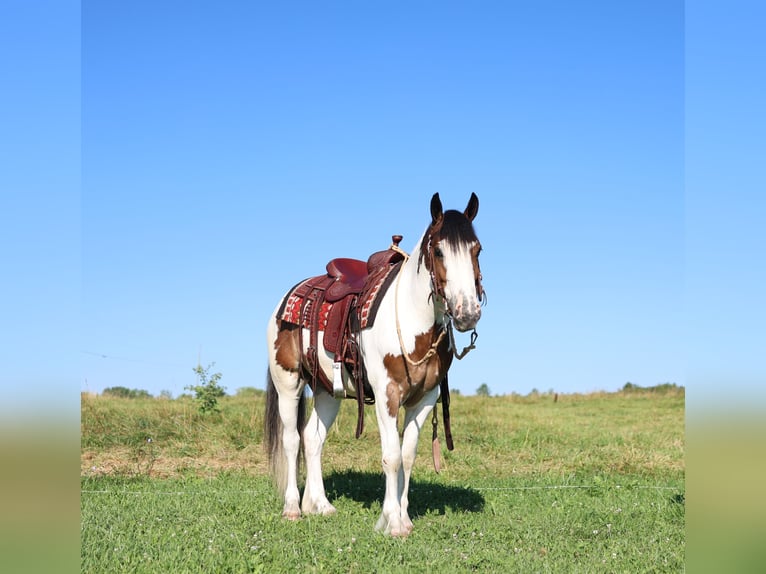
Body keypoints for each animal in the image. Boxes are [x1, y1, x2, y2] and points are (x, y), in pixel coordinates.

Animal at [264, 193, 484, 536]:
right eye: (438, 251)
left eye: (477, 249)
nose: (467, 313)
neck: (412, 318)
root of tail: (286, 298)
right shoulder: (386, 395)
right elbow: (391, 456)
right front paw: (391, 522)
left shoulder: (425, 399)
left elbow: (407, 456)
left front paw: (405, 518)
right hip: (288, 383)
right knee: (292, 439)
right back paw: (292, 508)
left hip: (328, 392)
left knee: (313, 439)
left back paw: (319, 505)